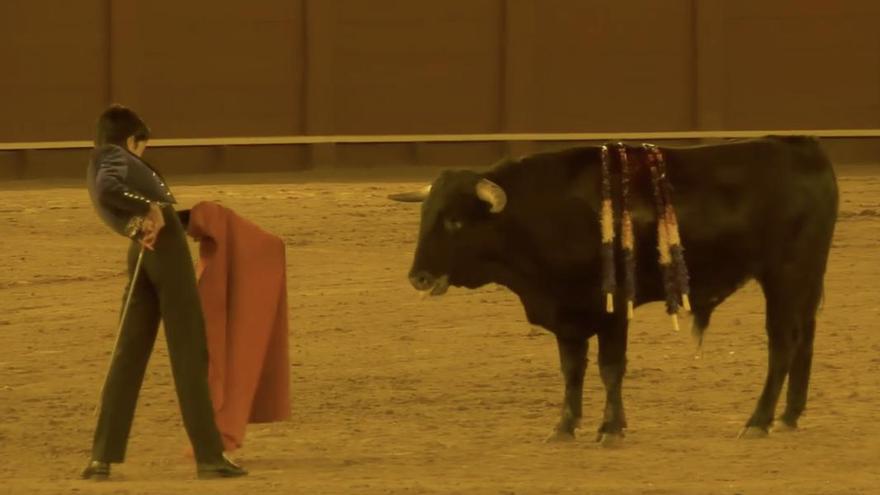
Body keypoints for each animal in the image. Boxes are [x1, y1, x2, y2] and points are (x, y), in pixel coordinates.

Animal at [390, 137, 840, 446]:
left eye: (454, 221)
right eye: (425, 216)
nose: (419, 277)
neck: (549, 212)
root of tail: (804, 147)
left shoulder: (613, 309)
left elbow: (610, 368)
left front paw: (610, 428)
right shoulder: (568, 314)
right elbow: (572, 370)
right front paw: (564, 427)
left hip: (785, 275)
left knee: (783, 343)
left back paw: (758, 421)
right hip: (804, 280)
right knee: (806, 338)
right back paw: (789, 416)